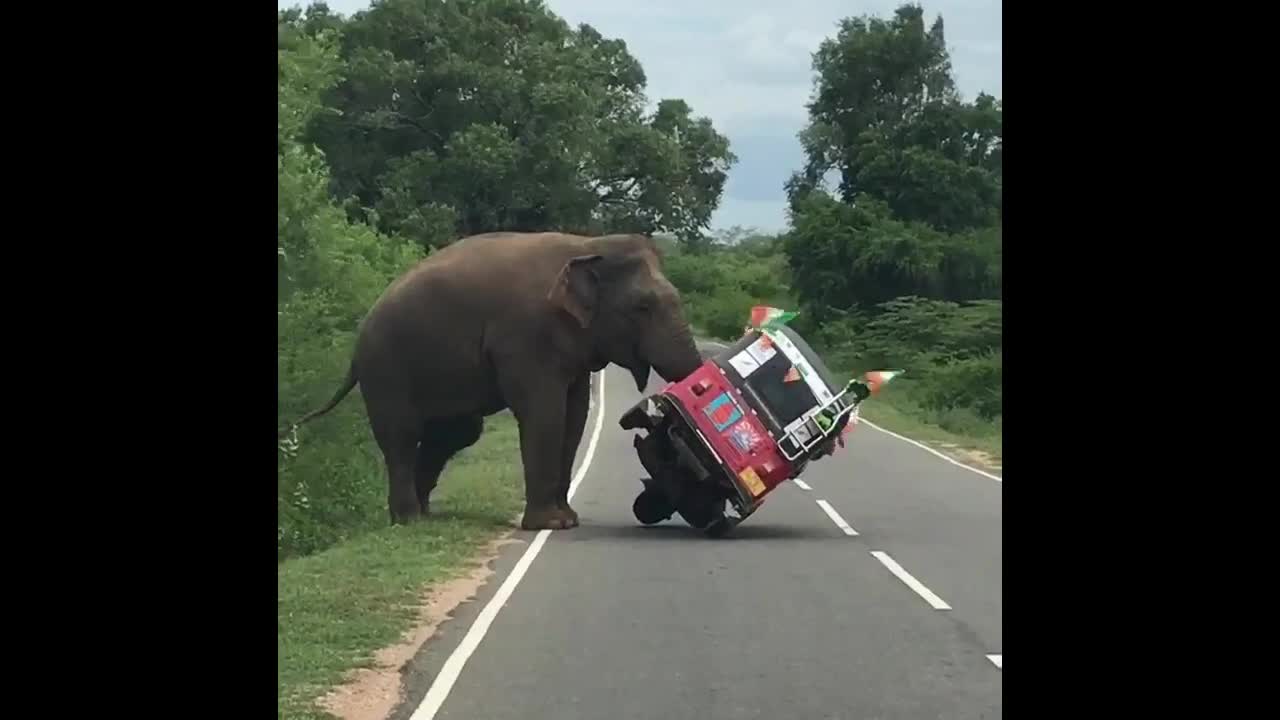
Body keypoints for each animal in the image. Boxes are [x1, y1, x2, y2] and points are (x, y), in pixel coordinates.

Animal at [280, 229, 701, 527]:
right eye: (642, 307)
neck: (587, 244)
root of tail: (355, 344)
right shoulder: (526, 335)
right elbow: (545, 413)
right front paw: (552, 525)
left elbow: (574, 414)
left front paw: (568, 520)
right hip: (385, 370)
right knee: (402, 437)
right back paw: (409, 520)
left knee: (454, 432)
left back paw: (425, 514)